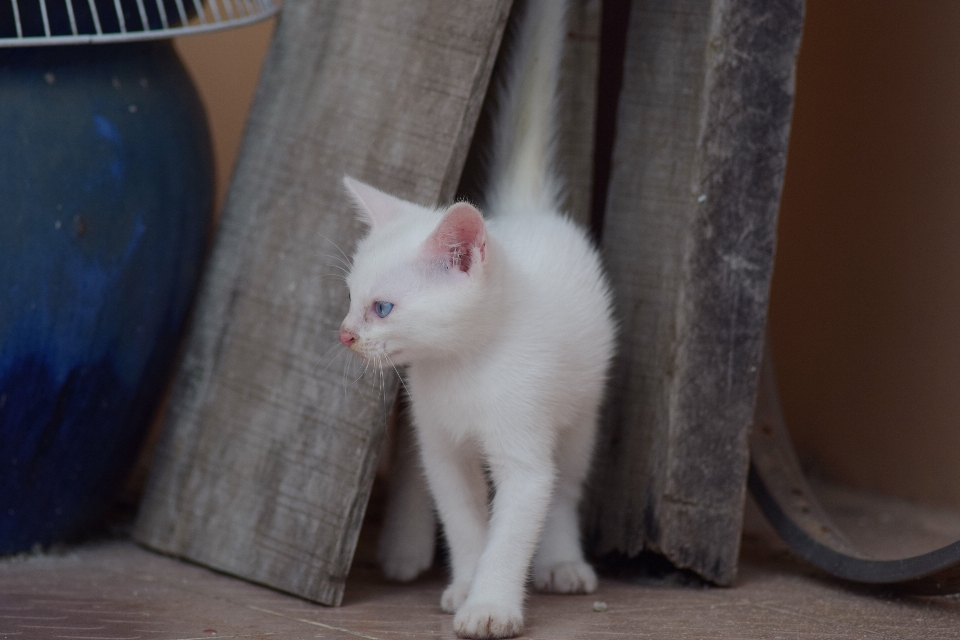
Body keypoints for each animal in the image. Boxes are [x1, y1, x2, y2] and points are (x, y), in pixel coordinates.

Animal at [338, 1, 616, 636]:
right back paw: (405, 548)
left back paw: (562, 562)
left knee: (566, 485)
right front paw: (465, 584)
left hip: (581, 410)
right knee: (414, 470)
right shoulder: (441, 442)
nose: (345, 334)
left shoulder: (525, 449)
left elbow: (512, 528)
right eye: (349, 297)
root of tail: (524, 211)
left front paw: (490, 605)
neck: (462, 366)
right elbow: (464, 519)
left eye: (382, 307)